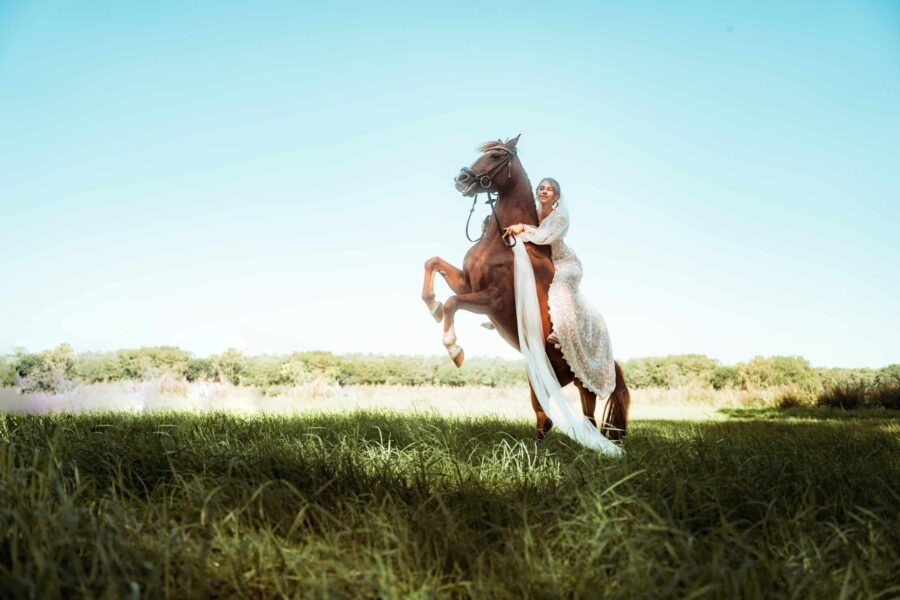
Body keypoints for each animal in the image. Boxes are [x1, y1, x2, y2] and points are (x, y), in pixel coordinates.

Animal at [421, 135, 630, 442]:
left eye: (496, 156)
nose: (461, 179)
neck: (505, 244)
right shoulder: (468, 283)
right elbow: (433, 263)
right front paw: (432, 305)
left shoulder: (493, 301)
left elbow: (452, 302)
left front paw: (454, 349)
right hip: (540, 377)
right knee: (545, 418)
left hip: (583, 385)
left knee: (587, 421)